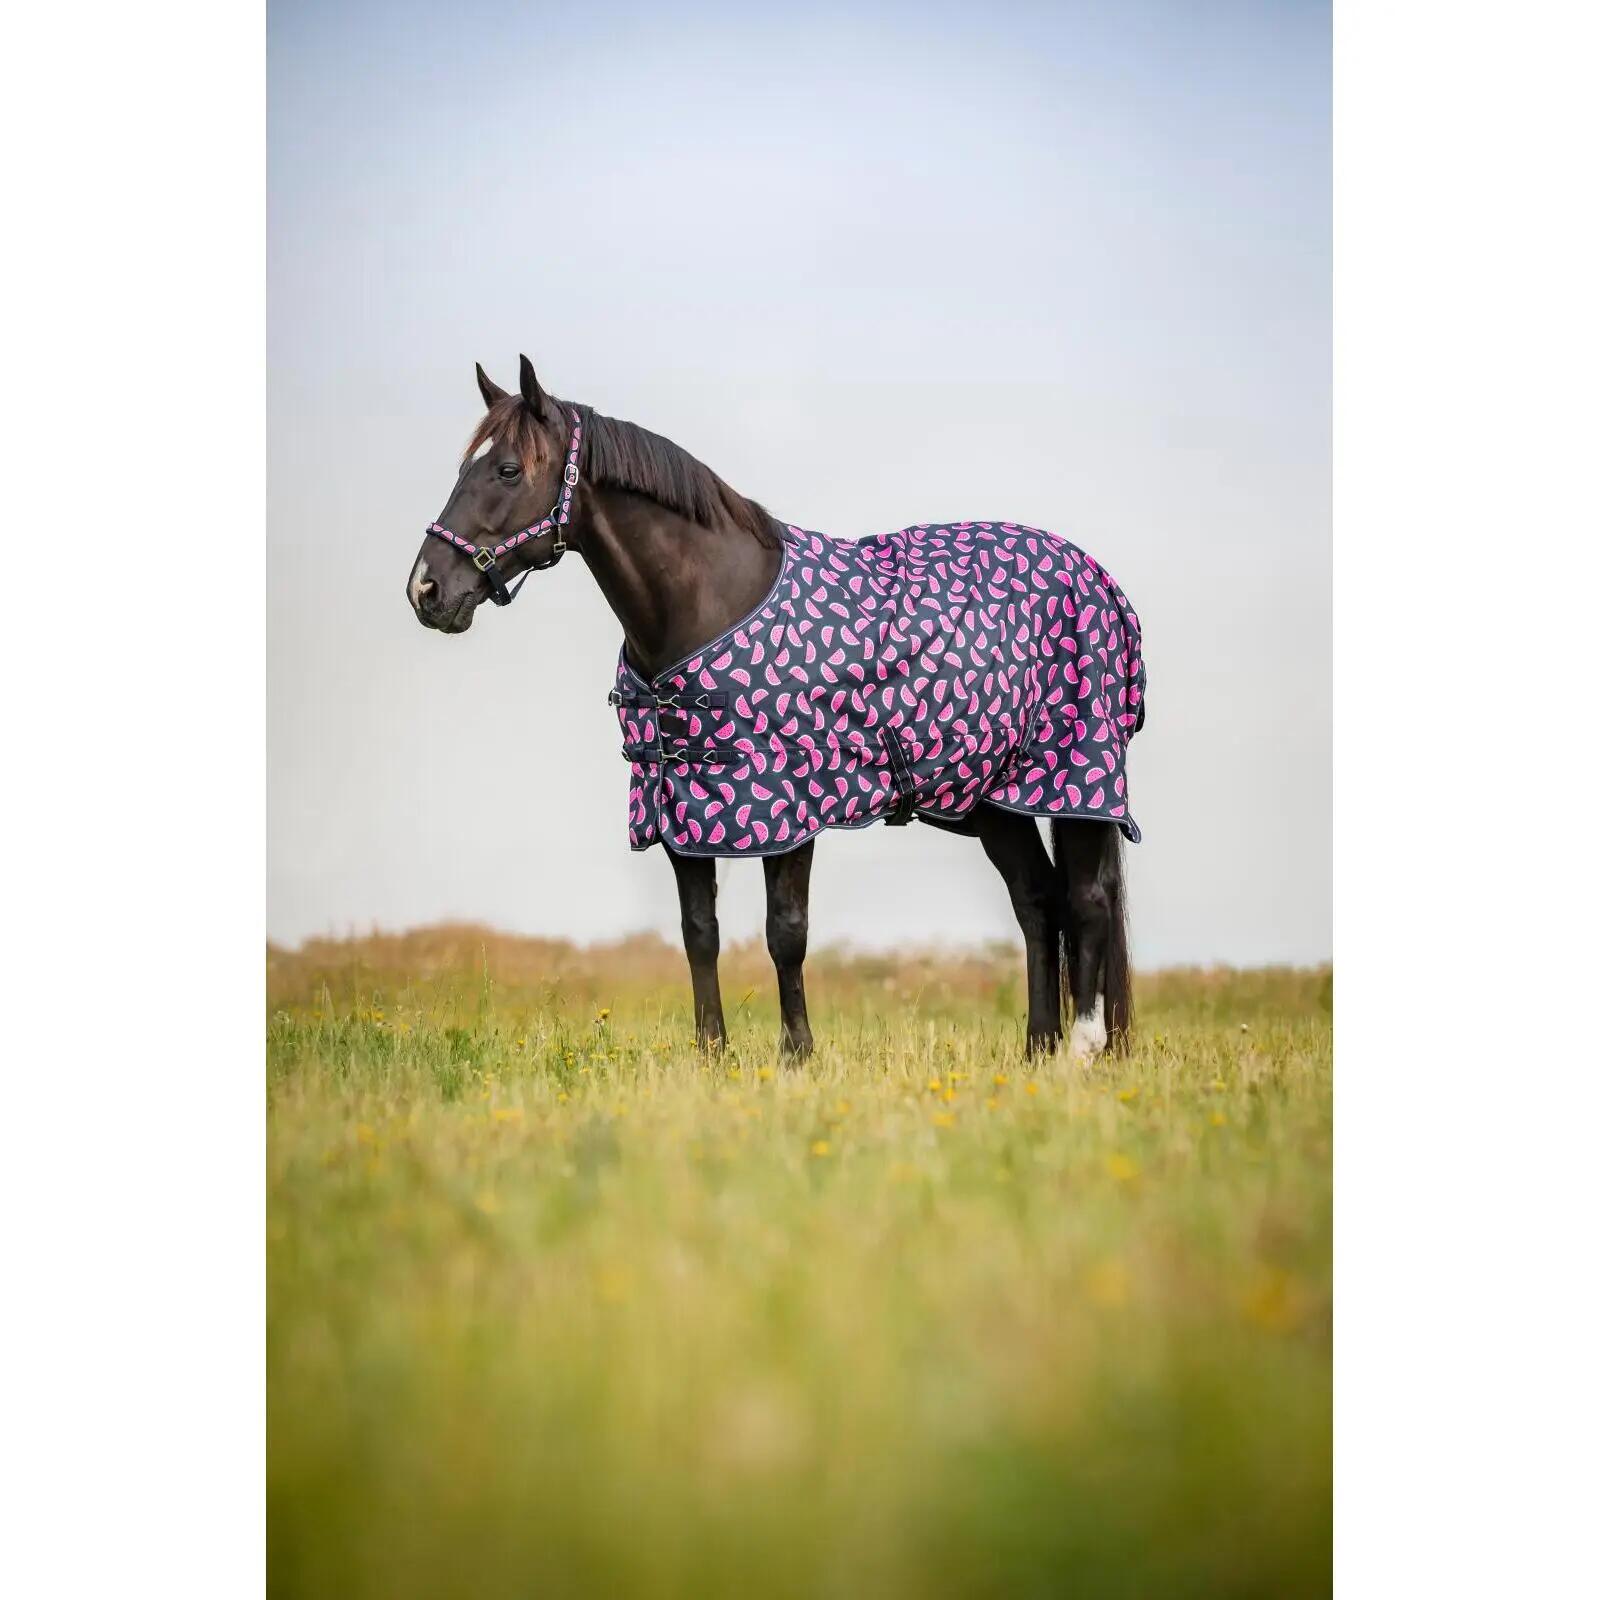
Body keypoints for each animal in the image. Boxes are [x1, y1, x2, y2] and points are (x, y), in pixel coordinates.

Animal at [407, 356, 1146, 1064]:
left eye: (507, 470)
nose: (426, 589)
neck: (708, 601)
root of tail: (1097, 580)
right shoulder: (680, 804)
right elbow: (699, 933)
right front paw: (712, 1055)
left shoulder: (788, 804)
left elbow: (785, 933)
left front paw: (797, 1054)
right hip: (998, 797)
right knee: (1037, 902)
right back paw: (1037, 1050)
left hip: (1076, 780)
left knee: (1086, 903)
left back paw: (1082, 1050)